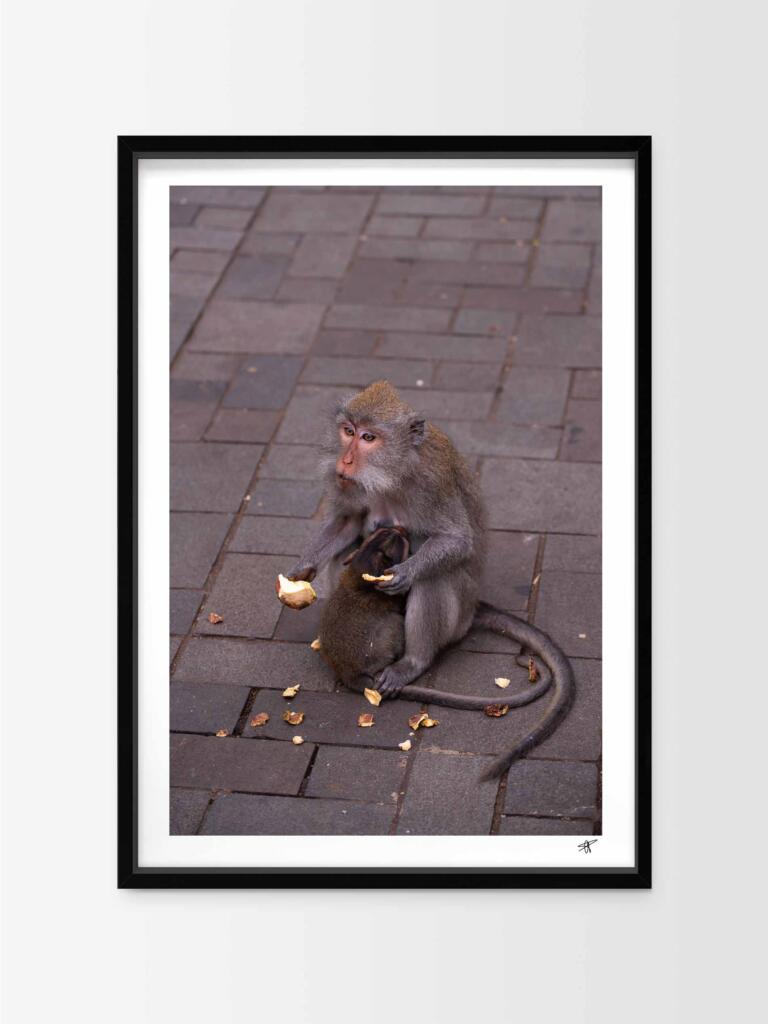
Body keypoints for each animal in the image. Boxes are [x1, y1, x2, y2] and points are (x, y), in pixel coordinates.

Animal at [287, 379, 574, 779]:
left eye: (369, 437)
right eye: (347, 431)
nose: (345, 462)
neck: (393, 474)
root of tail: (474, 607)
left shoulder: (430, 483)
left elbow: (456, 540)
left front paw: (404, 572)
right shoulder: (350, 487)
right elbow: (348, 523)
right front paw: (303, 568)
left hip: (459, 612)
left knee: (433, 580)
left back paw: (413, 662)